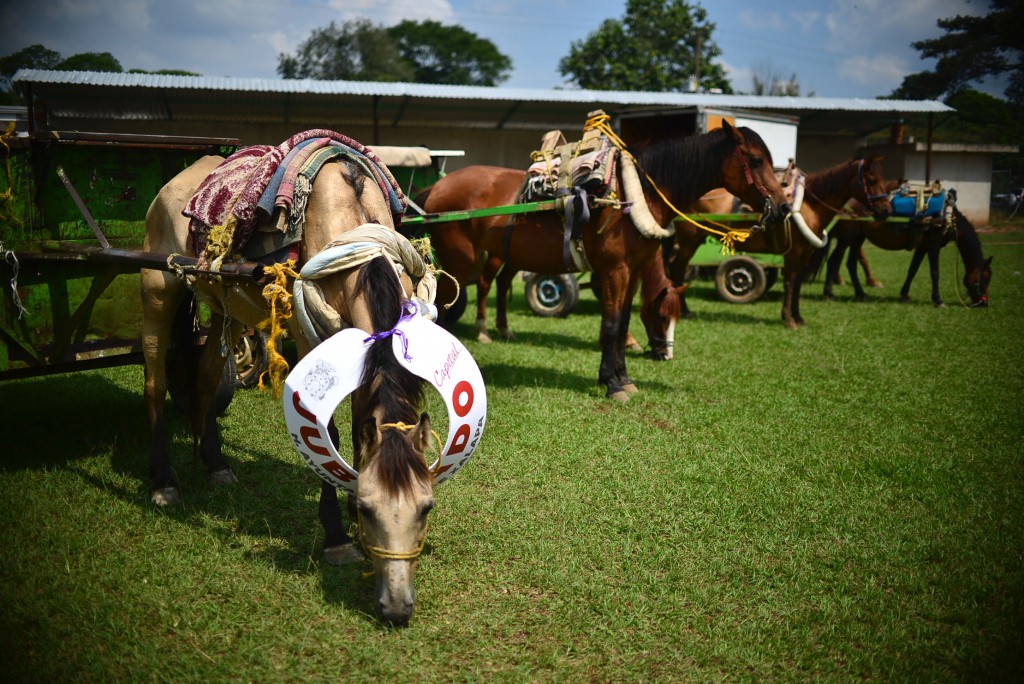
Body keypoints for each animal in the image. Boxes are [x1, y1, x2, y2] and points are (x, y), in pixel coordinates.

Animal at [142, 137, 437, 626]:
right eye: (370, 509)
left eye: (425, 507)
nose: (396, 608)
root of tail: (170, 184)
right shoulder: (307, 337)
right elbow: (328, 427)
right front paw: (337, 537)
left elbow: (360, 423)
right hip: (158, 291)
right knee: (154, 382)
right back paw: (163, 482)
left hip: (224, 305)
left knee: (205, 376)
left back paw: (215, 463)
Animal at [417, 121, 790, 400]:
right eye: (757, 160)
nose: (784, 206)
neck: (632, 196)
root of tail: (437, 188)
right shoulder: (615, 272)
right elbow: (610, 325)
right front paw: (611, 384)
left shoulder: (634, 271)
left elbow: (623, 323)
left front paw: (623, 378)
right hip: (461, 262)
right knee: (447, 306)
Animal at [666, 157, 892, 328]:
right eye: (871, 180)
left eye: (882, 179)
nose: (886, 211)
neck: (809, 205)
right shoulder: (793, 252)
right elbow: (790, 283)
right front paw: (789, 319)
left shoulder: (805, 253)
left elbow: (798, 283)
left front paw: (798, 317)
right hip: (689, 241)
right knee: (677, 269)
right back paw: (684, 310)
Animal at [822, 193, 992, 307]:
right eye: (984, 279)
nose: (984, 303)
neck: (947, 216)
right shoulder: (933, 245)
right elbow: (935, 272)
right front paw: (938, 300)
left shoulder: (923, 247)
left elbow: (913, 269)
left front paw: (904, 294)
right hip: (847, 239)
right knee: (833, 260)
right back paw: (828, 293)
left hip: (858, 238)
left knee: (851, 264)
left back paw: (861, 293)